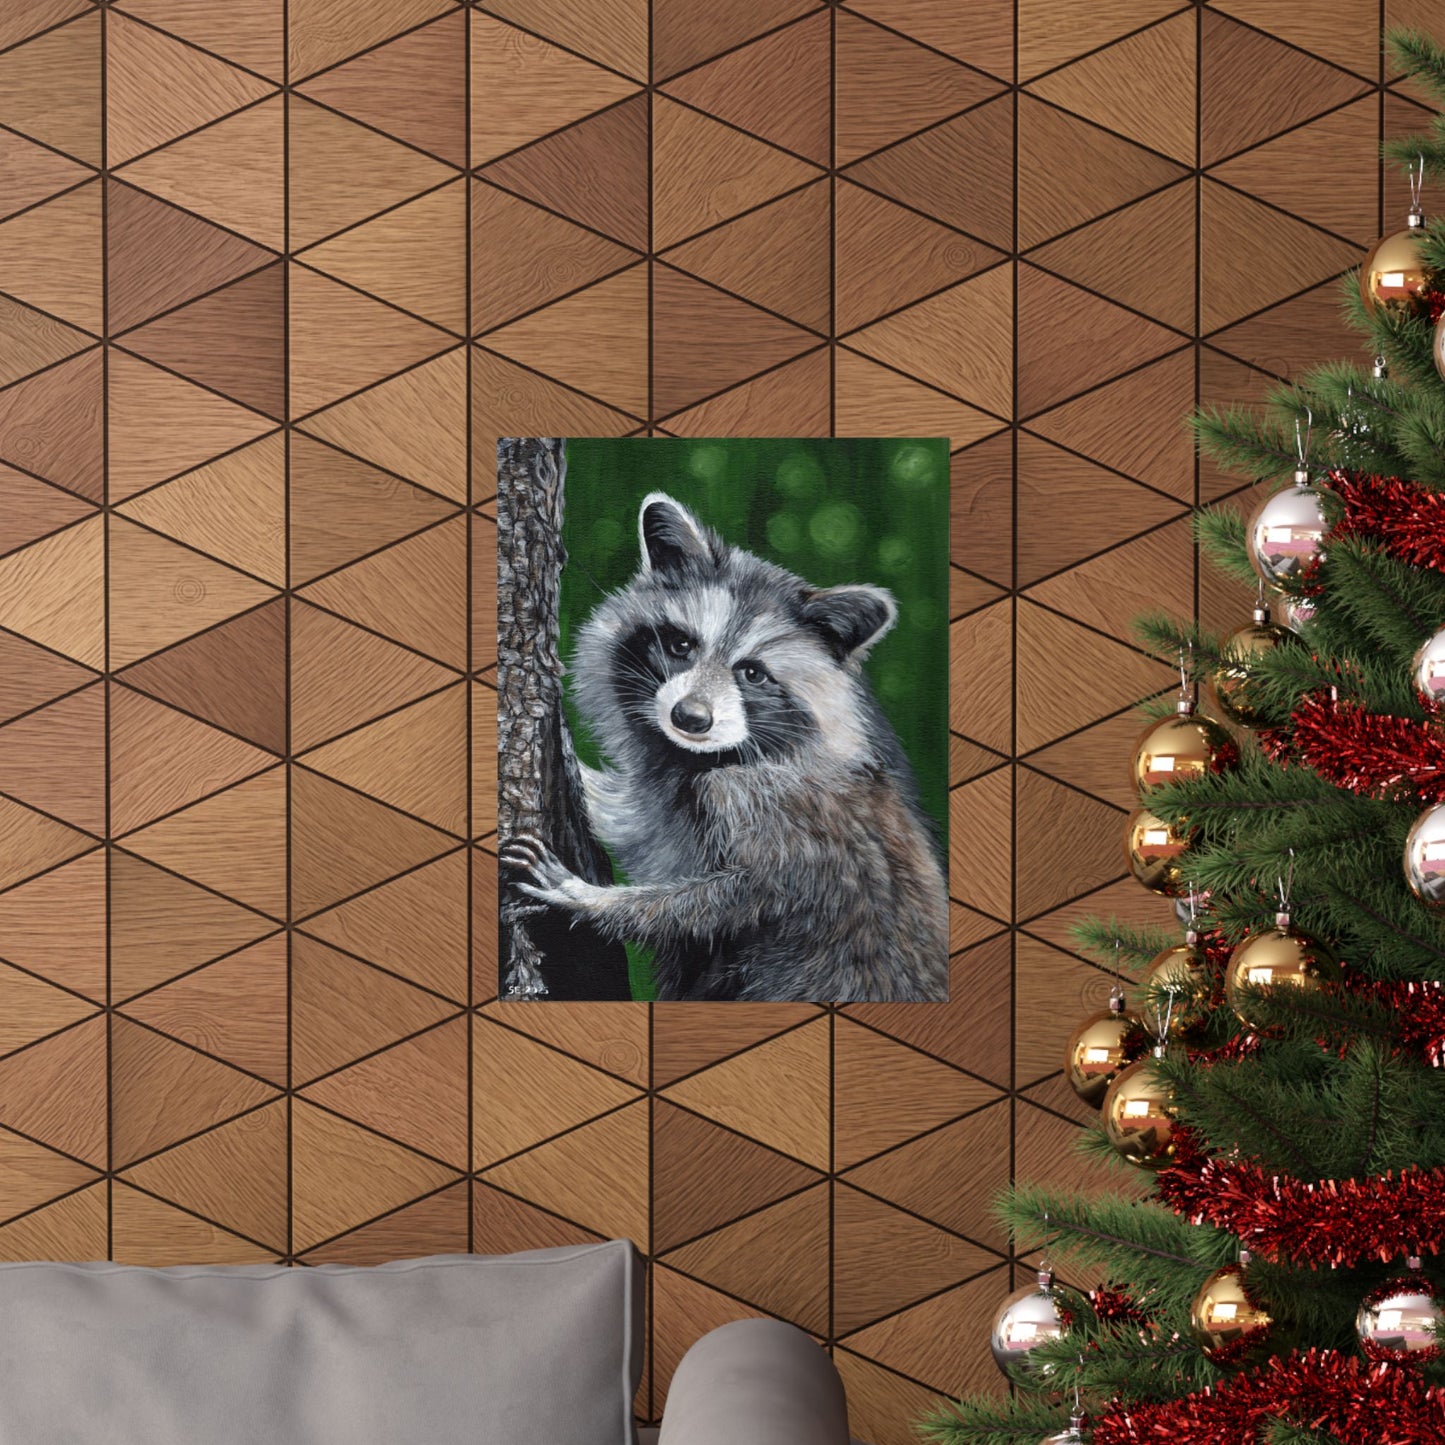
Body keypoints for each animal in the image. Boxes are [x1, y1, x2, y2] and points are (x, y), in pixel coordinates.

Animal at [501, 493, 949, 1002]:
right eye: (680, 645)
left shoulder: (775, 809)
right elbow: (636, 821)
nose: (690, 718)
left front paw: (590, 899)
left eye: (752, 673)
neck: (704, 757)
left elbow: (735, 898)